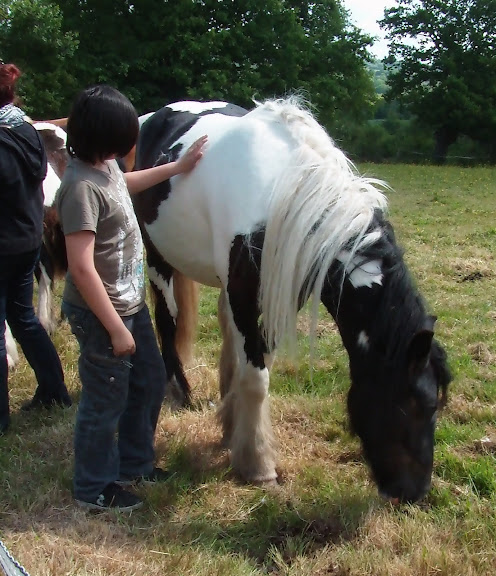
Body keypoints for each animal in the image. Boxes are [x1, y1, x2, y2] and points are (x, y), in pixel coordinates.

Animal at [134, 97, 452, 502]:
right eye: (414, 405)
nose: (414, 492)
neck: (286, 192)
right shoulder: (245, 296)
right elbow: (257, 378)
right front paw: (258, 466)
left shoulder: (274, 300)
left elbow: (255, 364)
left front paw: (232, 428)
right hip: (158, 257)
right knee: (168, 319)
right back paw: (179, 392)